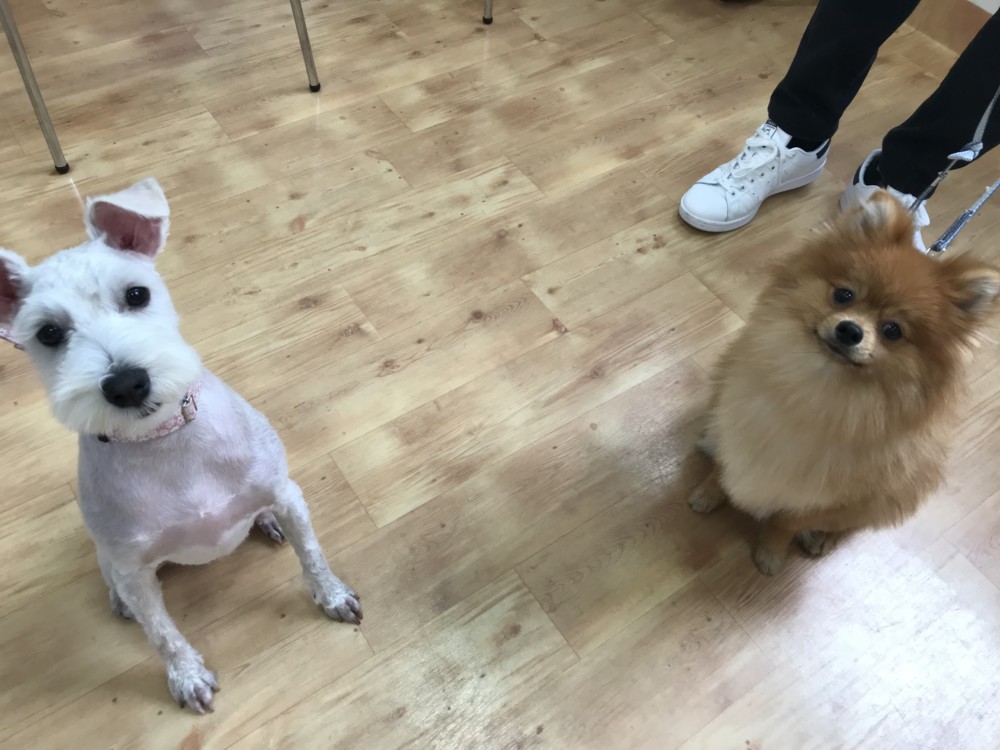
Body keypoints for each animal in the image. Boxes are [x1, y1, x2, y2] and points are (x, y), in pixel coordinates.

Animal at [0, 178, 361, 713]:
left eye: (136, 294)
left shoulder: (287, 494)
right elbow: (163, 633)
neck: (165, 443)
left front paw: (332, 595)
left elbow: (313, 556)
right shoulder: (134, 571)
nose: (126, 384)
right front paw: (187, 676)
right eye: (48, 333)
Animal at [690, 190, 1000, 576]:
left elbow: (785, 521)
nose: (850, 330)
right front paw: (706, 494)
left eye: (892, 330)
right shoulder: (734, 424)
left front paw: (771, 554)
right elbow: (721, 469)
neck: (816, 388)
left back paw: (820, 538)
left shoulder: (825, 497)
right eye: (844, 295)